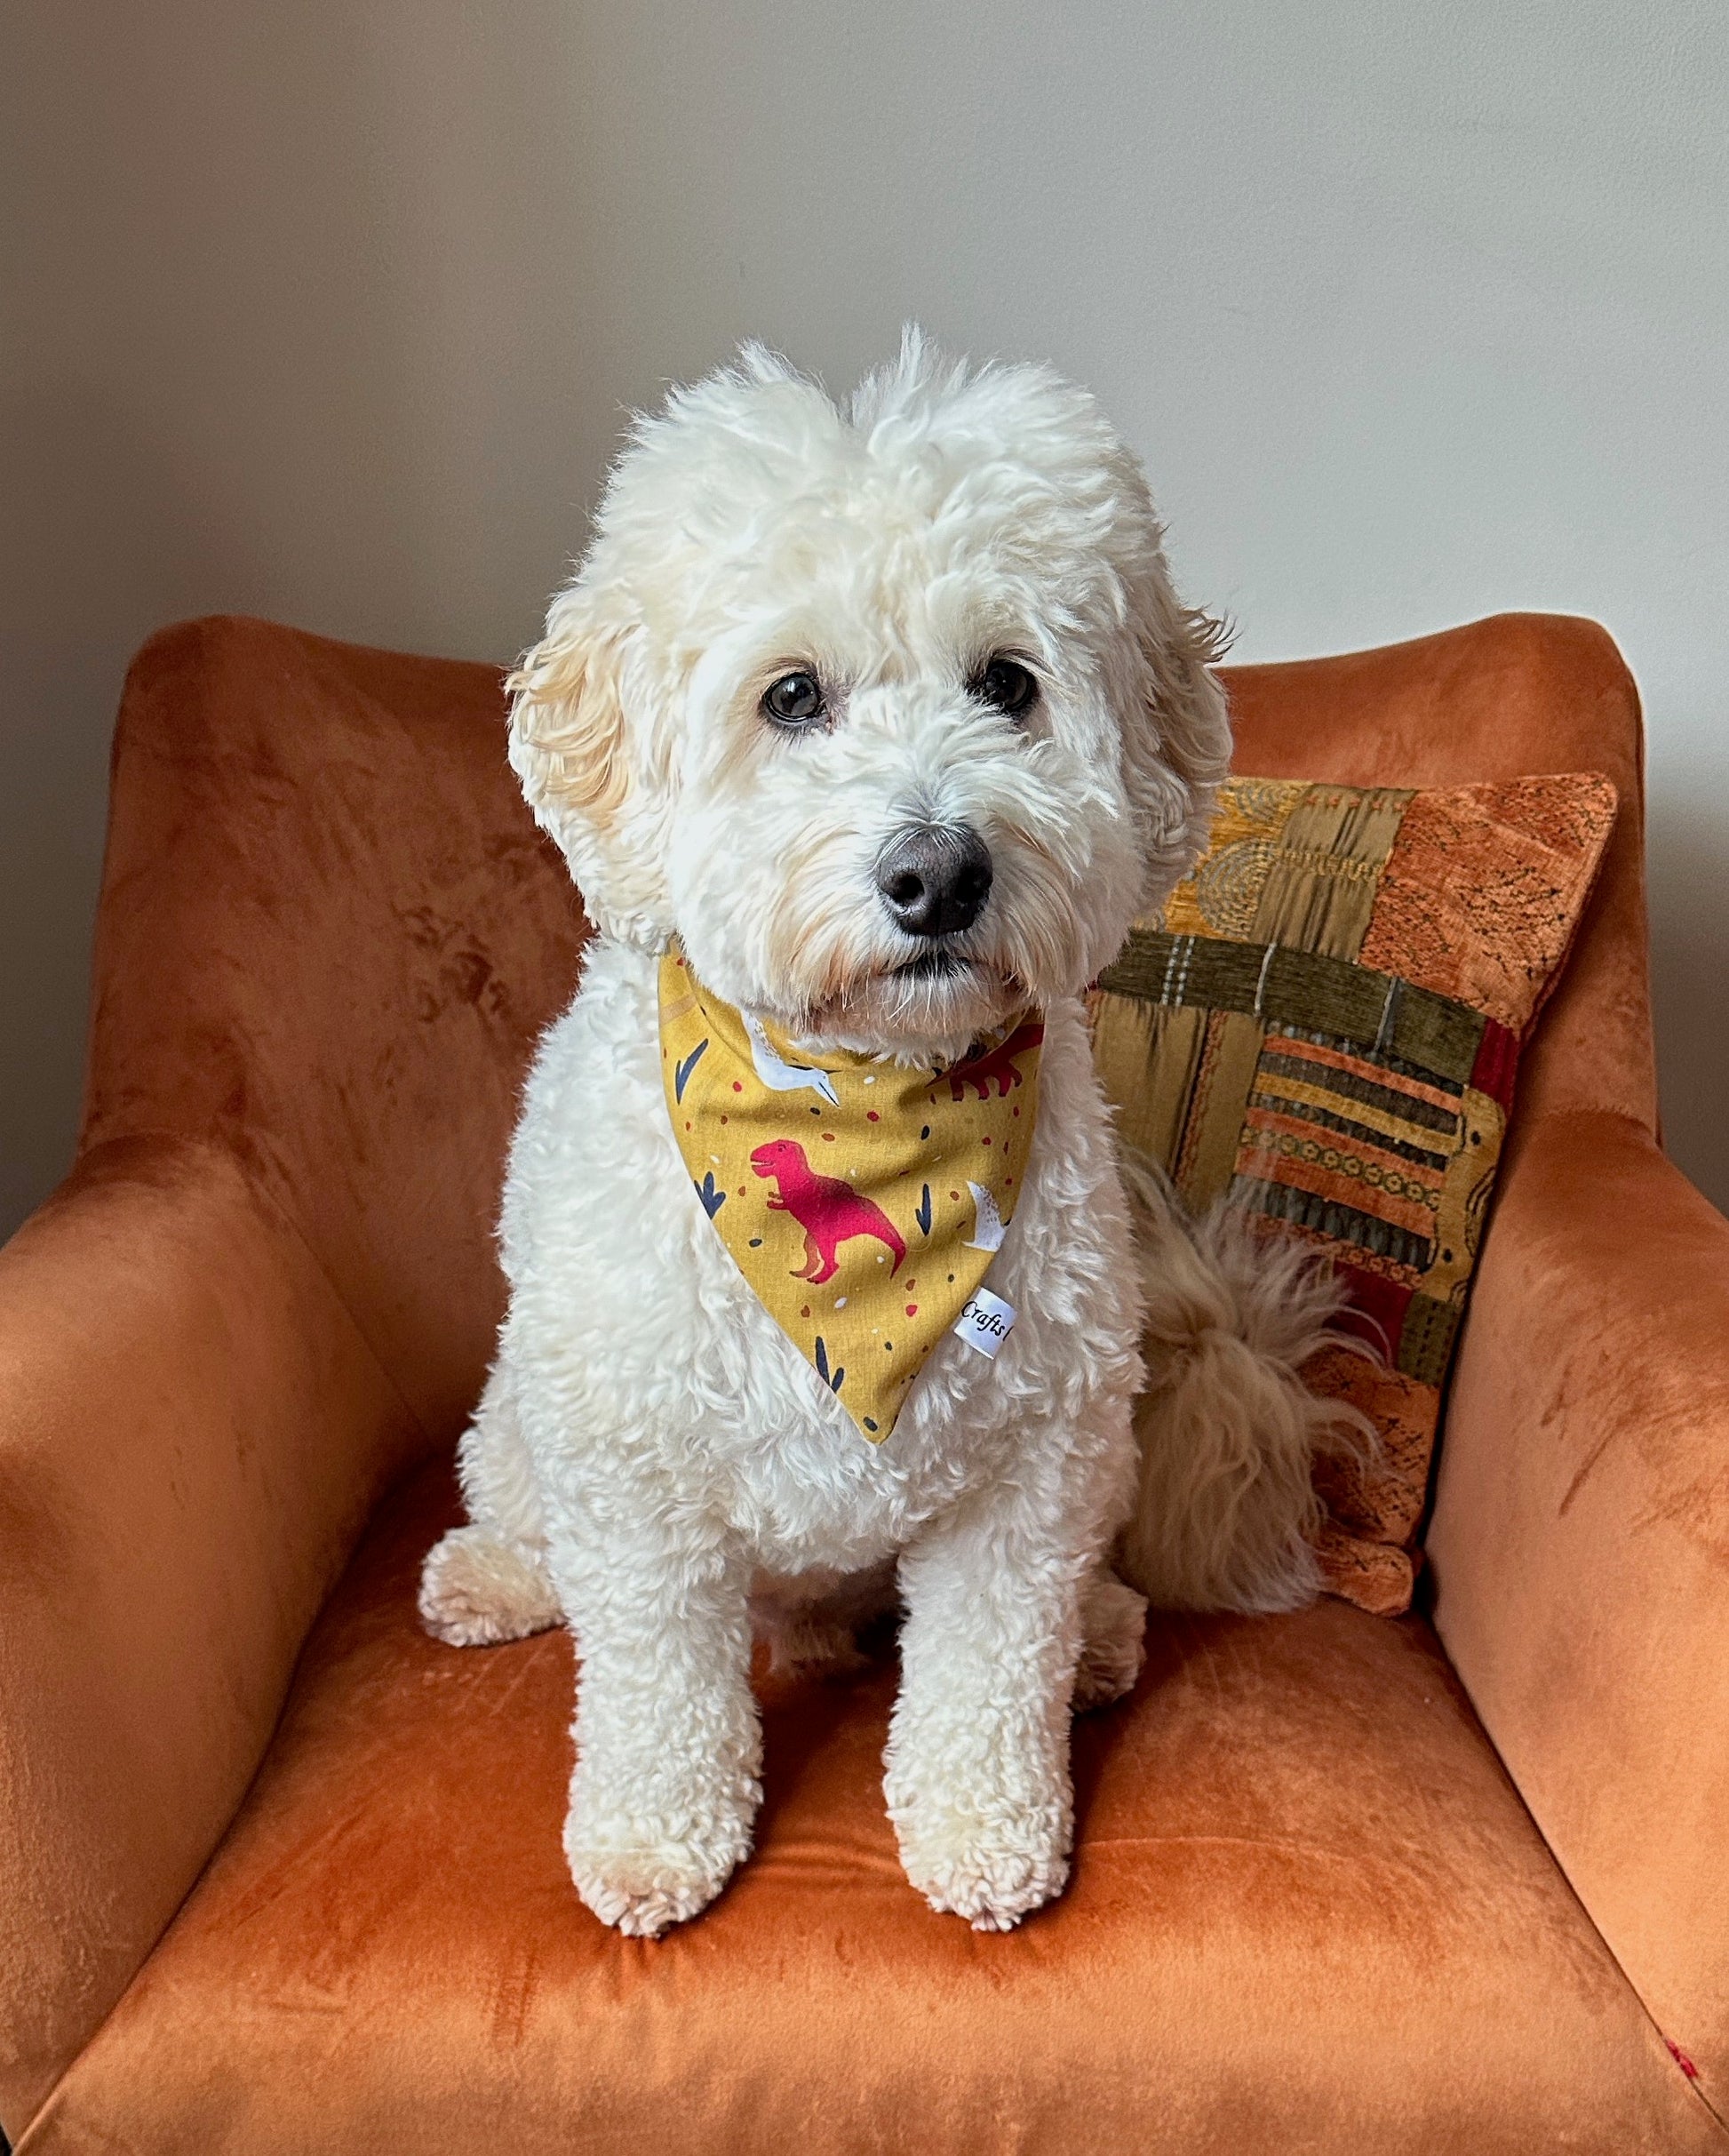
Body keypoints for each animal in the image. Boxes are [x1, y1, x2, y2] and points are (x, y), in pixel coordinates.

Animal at [418, 331, 1319, 1940]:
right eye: (791, 697)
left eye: (1008, 682)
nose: (936, 871)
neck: (859, 1113)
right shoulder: (635, 1465)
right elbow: (653, 1678)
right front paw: (652, 1836)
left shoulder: (1032, 1462)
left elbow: (990, 1669)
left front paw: (982, 1831)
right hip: (528, 1408)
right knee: (525, 1515)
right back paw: (493, 1576)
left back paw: (1100, 1632)